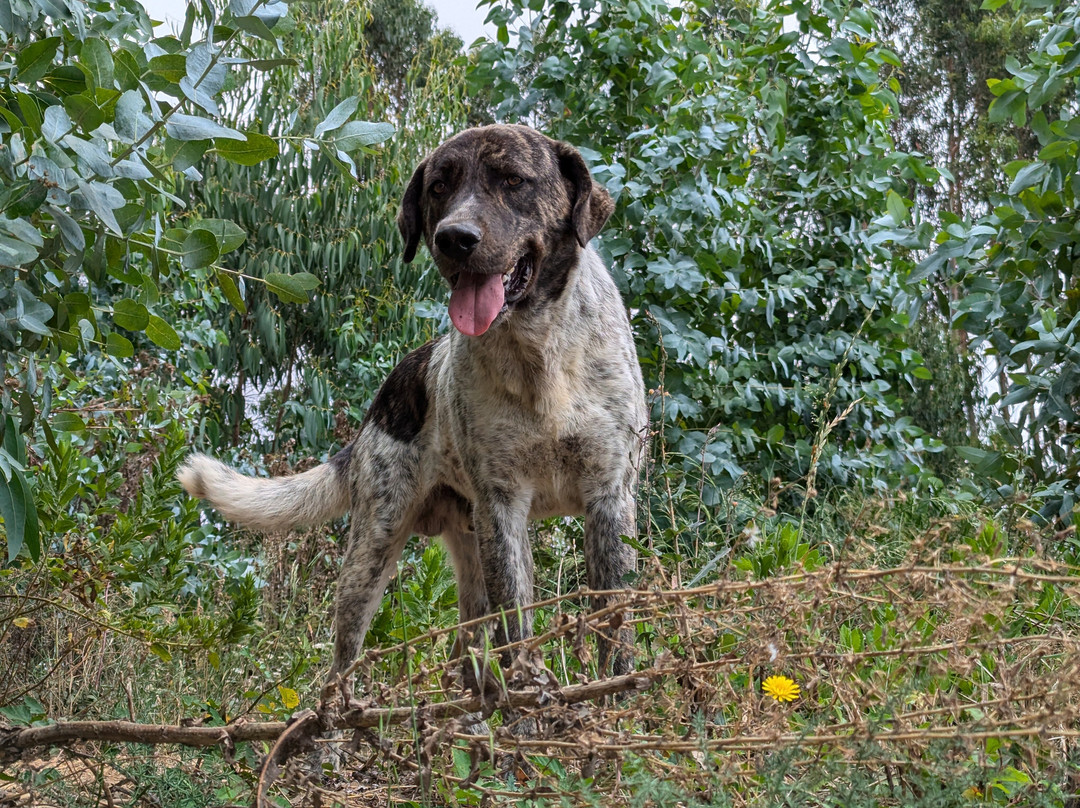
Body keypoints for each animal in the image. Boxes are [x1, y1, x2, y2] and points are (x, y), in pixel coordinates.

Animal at [180, 123, 643, 704]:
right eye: (439, 187)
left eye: (513, 180)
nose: (454, 238)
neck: (539, 354)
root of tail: (381, 405)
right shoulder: (503, 508)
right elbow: (517, 629)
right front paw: (531, 695)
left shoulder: (609, 498)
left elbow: (614, 625)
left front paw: (616, 699)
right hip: (374, 550)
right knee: (345, 660)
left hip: (469, 555)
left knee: (470, 653)